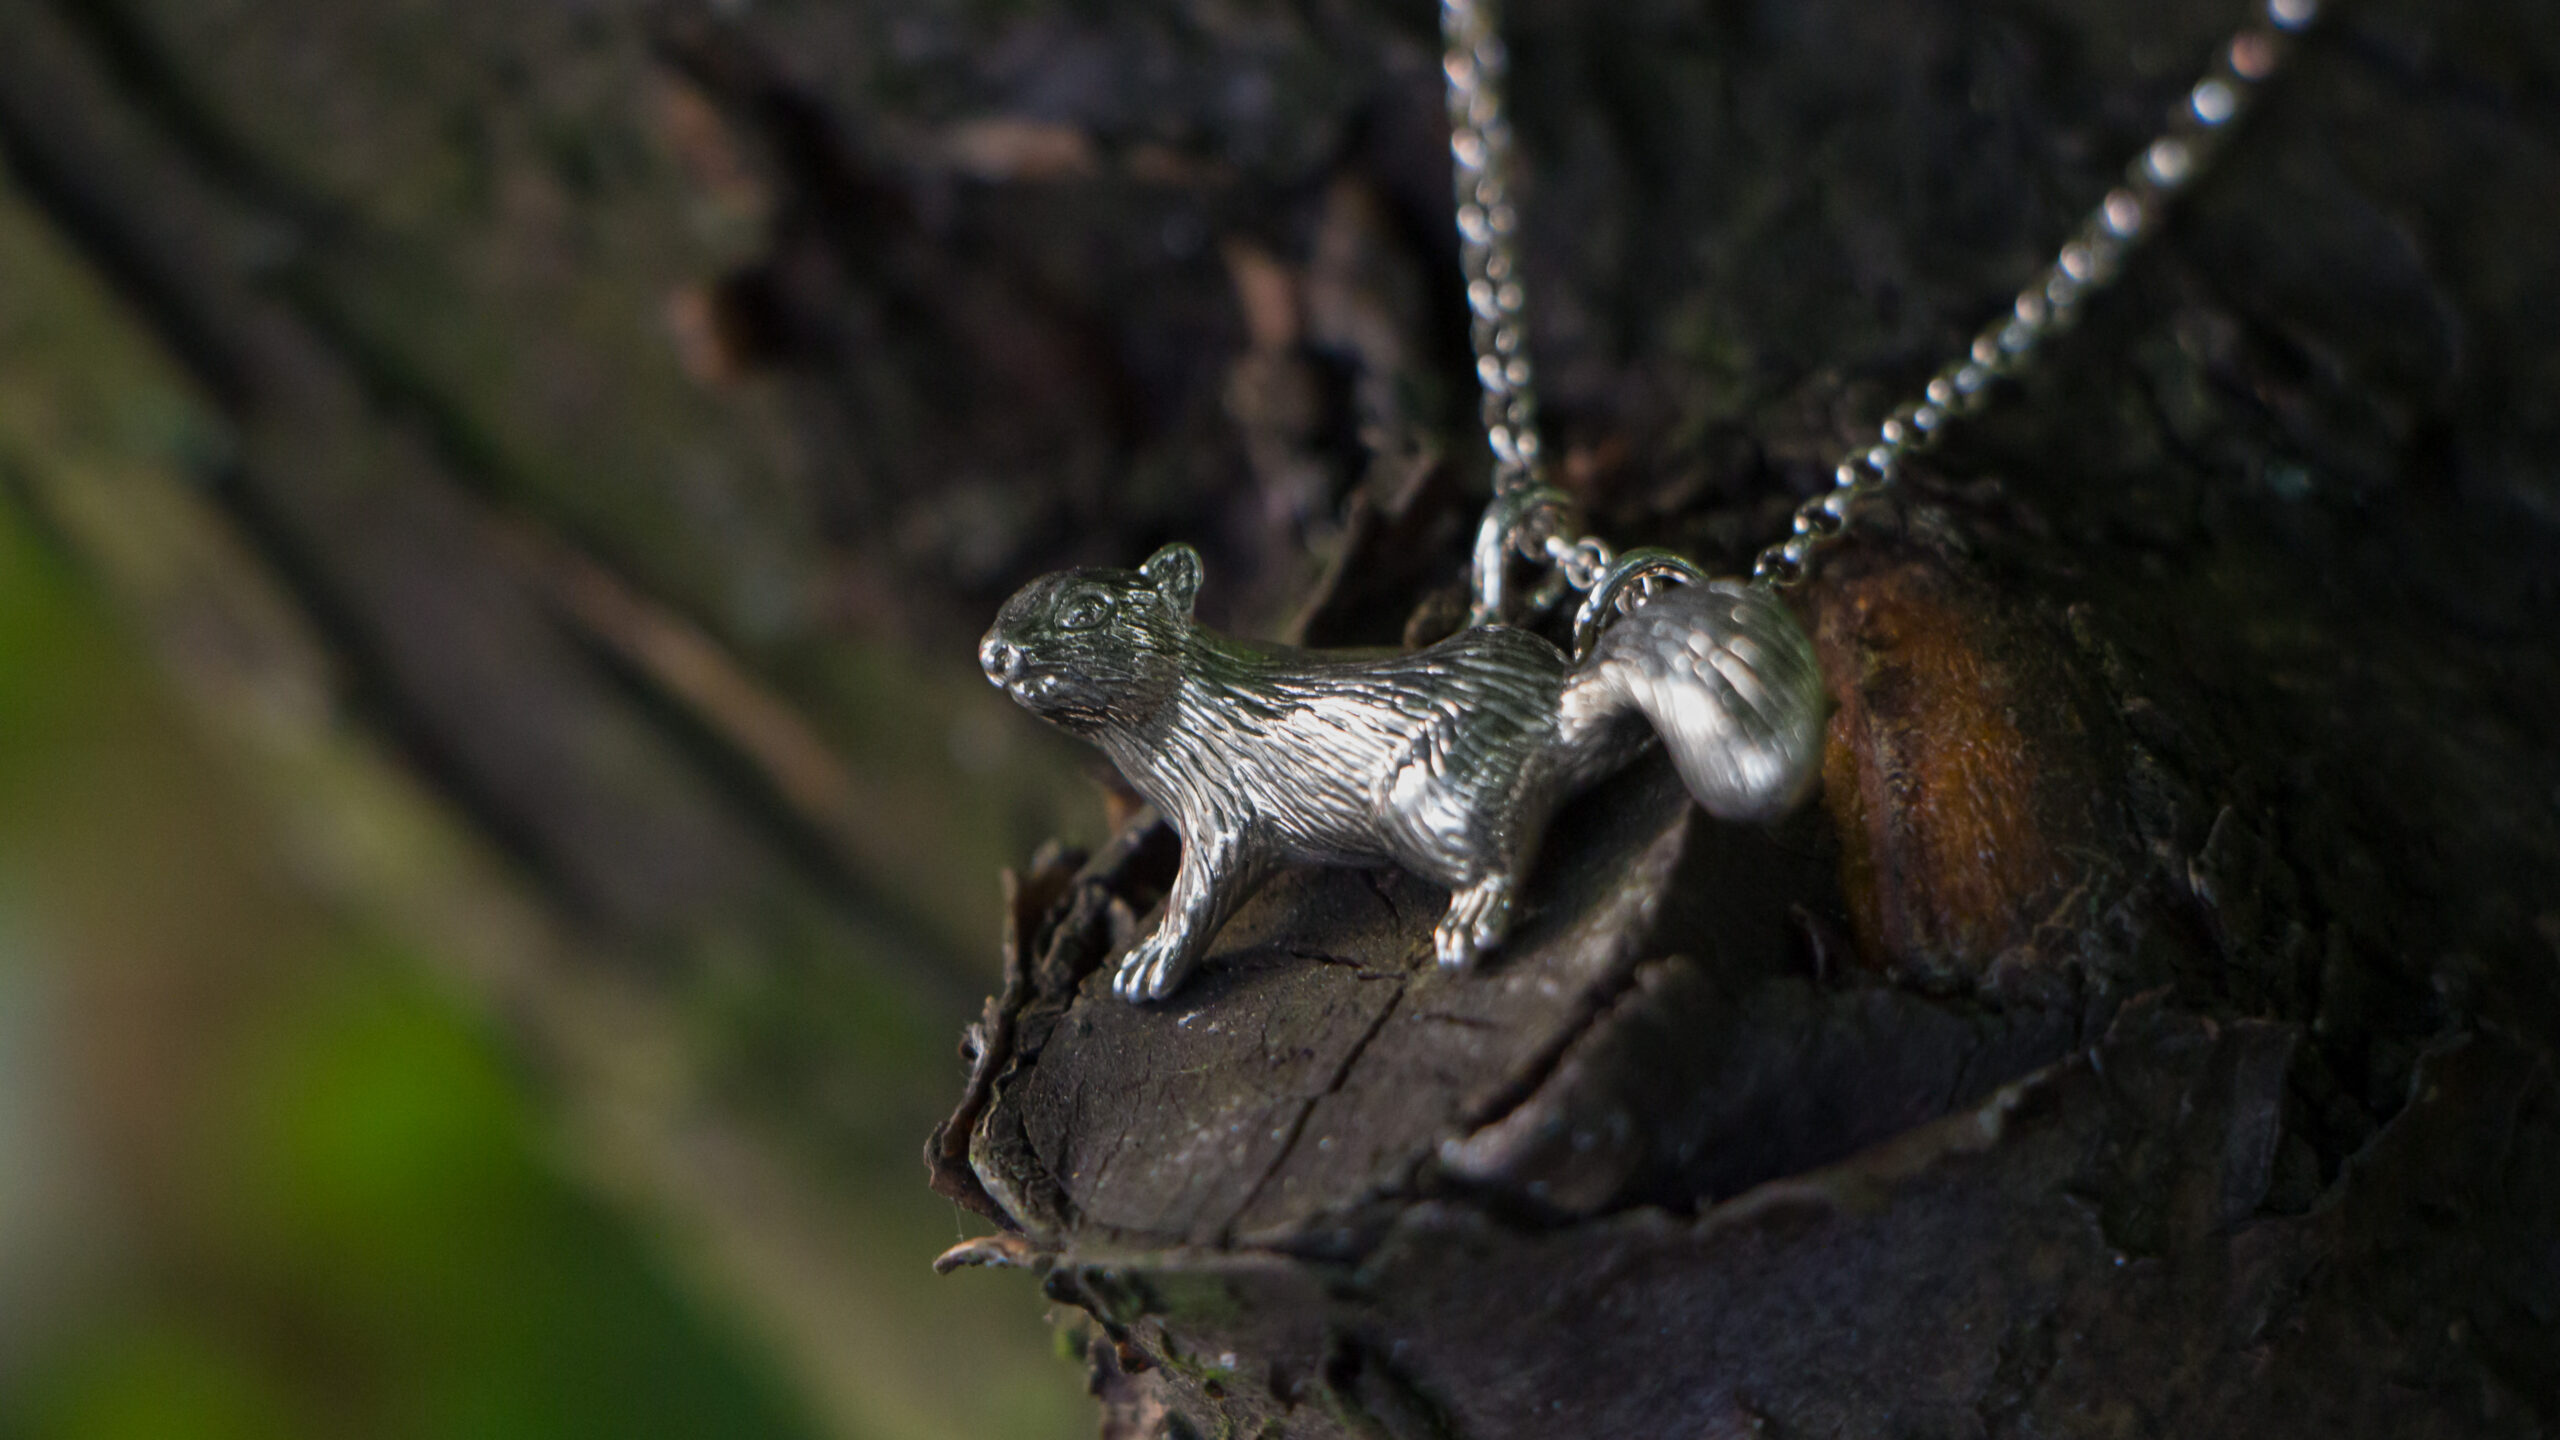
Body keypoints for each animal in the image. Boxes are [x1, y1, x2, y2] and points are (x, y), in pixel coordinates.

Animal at [979, 542, 1826, 1001]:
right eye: (1007, 606)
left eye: (1087, 611)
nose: (995, 654)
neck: (1184, 718)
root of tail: (1556, 704)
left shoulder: (1222, 814)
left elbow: (1198, 895)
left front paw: (1150, 961)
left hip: (1422, 797)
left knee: (1507, 851)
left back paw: (1470, 923)